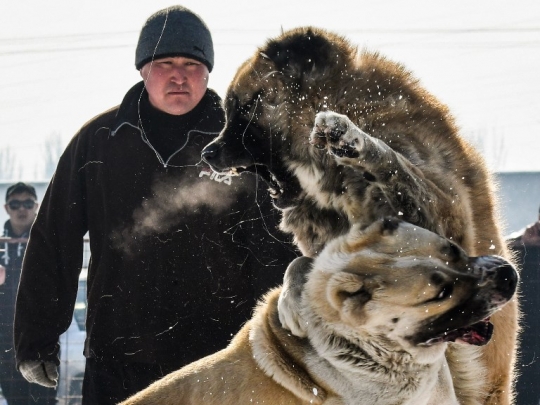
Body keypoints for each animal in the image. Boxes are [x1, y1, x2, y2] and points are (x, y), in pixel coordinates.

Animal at [200, 26, 520, 402]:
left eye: (246, 106)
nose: (206, 153)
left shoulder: (448, 215)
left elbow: (395, 163)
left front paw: (351, 137)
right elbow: (303, 264)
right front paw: (293, 301)